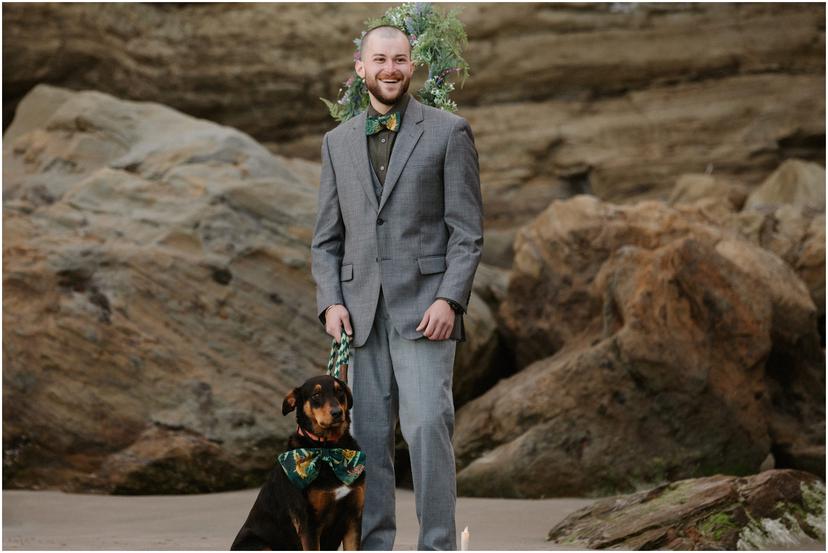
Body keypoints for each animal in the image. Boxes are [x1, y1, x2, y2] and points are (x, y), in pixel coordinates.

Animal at [231, 374, 364, 548]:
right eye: (316, 395)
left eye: (340, 391)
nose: (337, 413)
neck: (328, 449)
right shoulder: (309, 523)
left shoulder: (354, 519)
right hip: (260, 545)